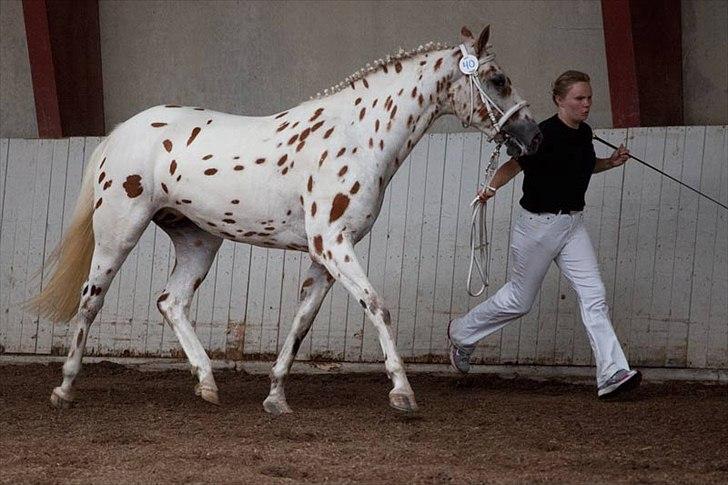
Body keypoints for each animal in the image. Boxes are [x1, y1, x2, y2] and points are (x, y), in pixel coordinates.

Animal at [28, 25, 540, 412]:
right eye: (497, 79)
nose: (532, 137)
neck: (357, 136)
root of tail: (120, 133)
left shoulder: (324, 256)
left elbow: (302, 322)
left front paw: (275, 396)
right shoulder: (333, 244)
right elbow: (377, 306)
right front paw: (402, 392)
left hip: (198, 241)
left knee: (170, 302)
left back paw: (207, 384)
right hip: (118, 234)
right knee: (90, 302)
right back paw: (64, 389)